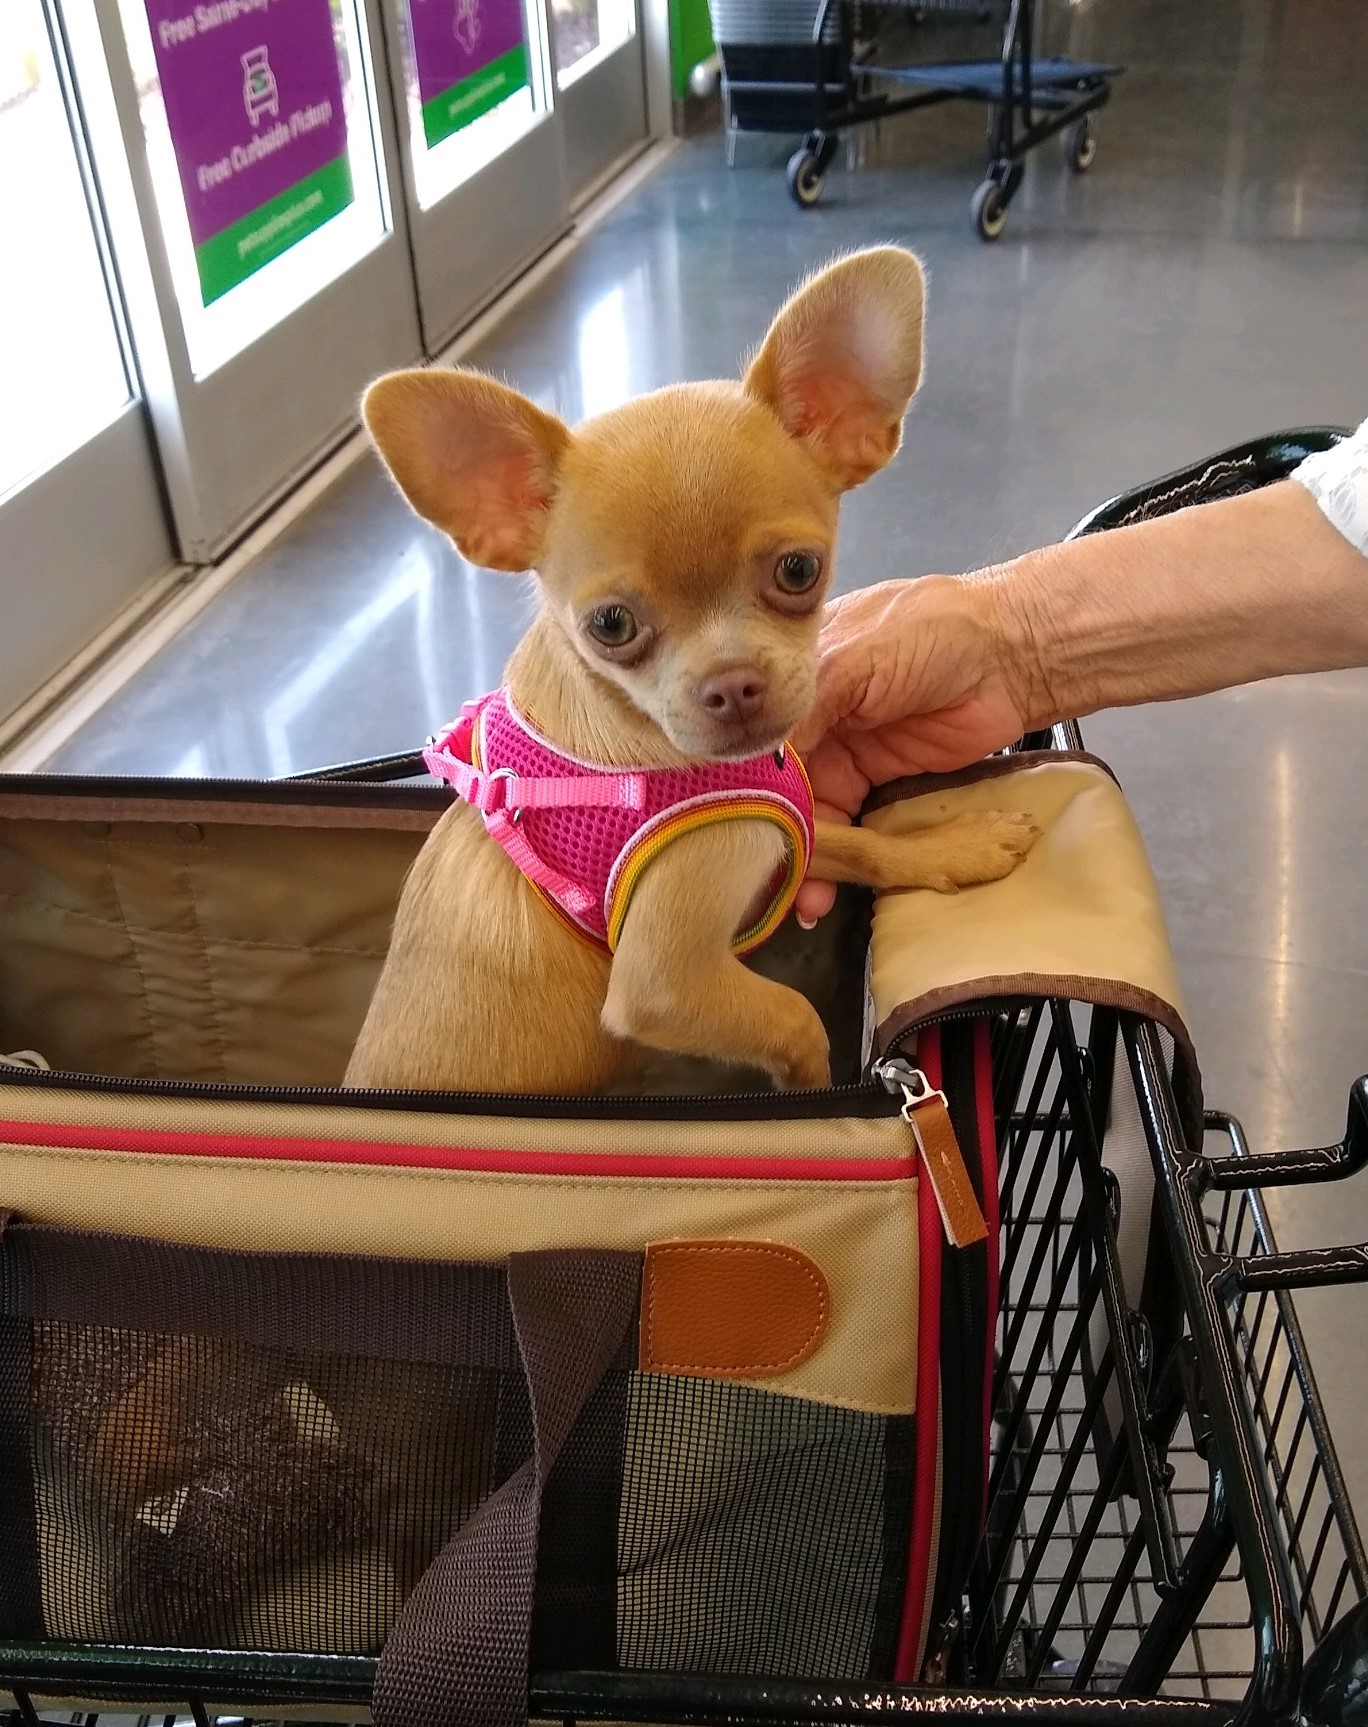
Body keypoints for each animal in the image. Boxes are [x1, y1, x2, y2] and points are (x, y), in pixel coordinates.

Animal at [346, 247, 1039, 1095]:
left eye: (799, 571)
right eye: (610, 626)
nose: (732, 684)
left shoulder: (780, 841)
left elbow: (862, 839)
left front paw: (953, 847)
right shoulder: (666, 984)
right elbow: (792, 1016)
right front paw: (818, 1093)